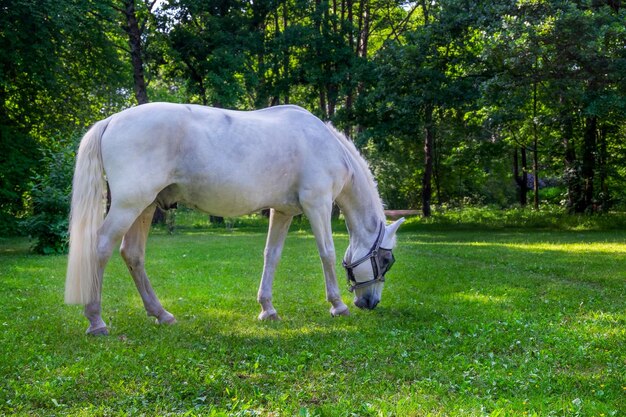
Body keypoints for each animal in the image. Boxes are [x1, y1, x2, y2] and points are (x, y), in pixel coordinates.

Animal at [64, 103, 404, 334]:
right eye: (386, 260)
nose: (370, 302)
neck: (325, 144)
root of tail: (111, 120)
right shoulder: (317, 204)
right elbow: (327, 253)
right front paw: (338, 305)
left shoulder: (283, 212)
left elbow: (272, 255)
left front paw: (267, 309)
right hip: (128, 206)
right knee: (101, 247)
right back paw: (96, 320)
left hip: (144, 208)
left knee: (132, 254)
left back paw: (161, 314)